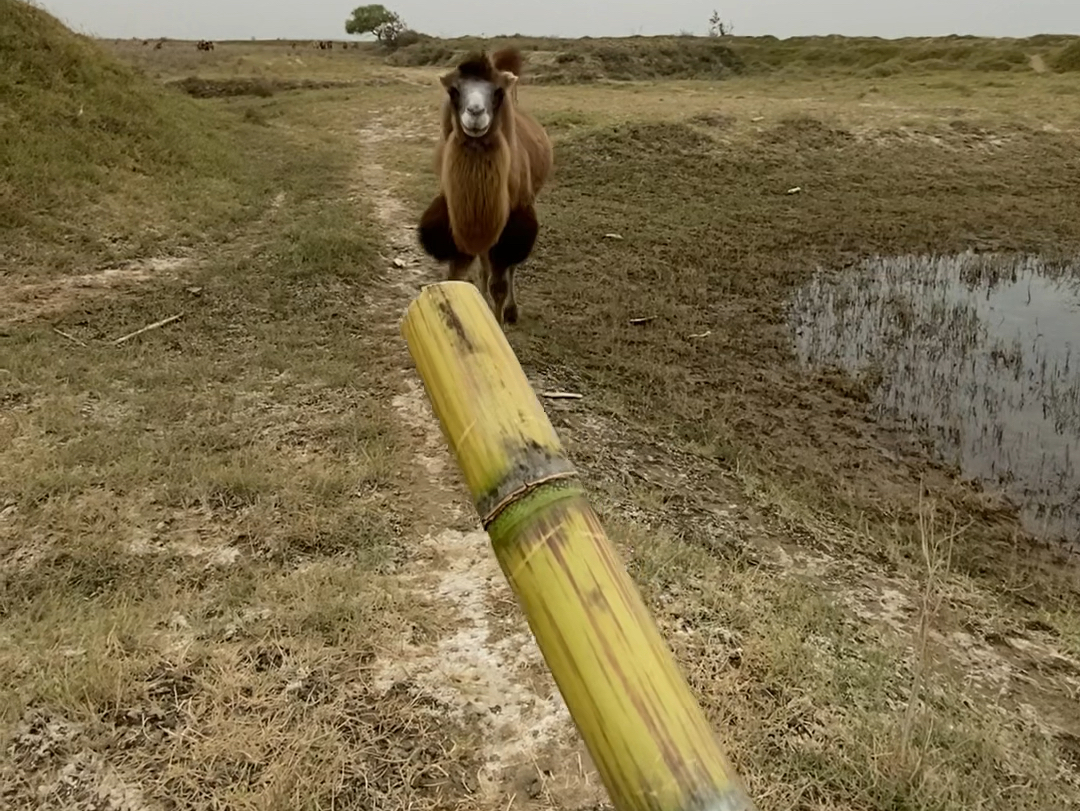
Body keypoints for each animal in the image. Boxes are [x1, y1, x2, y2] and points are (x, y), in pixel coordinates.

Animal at [414, 47, 552, 326]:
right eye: (454, 91)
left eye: (497, 92)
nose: (475, 112)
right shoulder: (455, 226)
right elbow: (456, 277)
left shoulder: (513, 224)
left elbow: (500, 283)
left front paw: (498, 321)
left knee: (508, 268)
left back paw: (510, 311)